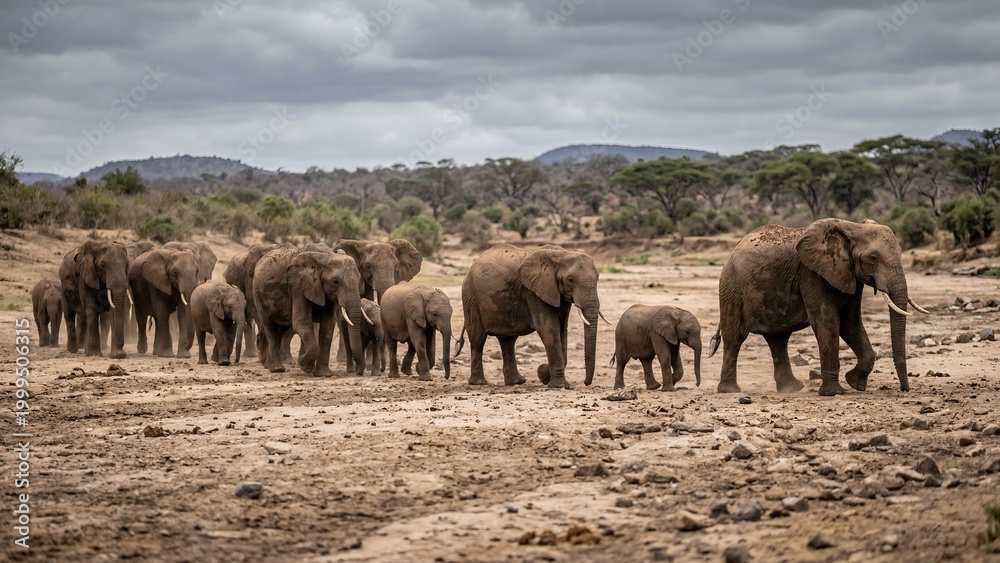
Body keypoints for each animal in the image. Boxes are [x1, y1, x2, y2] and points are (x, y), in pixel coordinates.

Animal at [253, 246, 365, 376]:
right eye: (335, 281)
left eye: (359, 279)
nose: (357, 372)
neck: (326, 256)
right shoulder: (298, 286)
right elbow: (301, 323)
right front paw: (304, 365)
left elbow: (328, 326)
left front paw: (324, 374)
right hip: (258, 296)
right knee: (270, 327)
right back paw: (277, 369)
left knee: (280, 329)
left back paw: (269, 365)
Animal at [459, 244, 606, 389]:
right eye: (570, 280)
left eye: (598, 278)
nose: (586, 383)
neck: (562, 254)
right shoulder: (534, 292)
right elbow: (549, 330)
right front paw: (558, 384)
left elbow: (562, 330)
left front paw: (543, 374)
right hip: (470, 297)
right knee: (477, 338)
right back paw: (479, 383)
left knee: (508, 340)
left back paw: (516, 382)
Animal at [708, 218, 930, 396]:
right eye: (873, 258)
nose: (904, 390)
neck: (852, 227)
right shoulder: (812, 274)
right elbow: (828, 322)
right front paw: (834, 393)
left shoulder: (849, 276)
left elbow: (851, 325)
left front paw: (855, 384)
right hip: (732, 289)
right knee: (734, 338)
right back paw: (730, 390)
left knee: (778, 340)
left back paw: (792, 388)